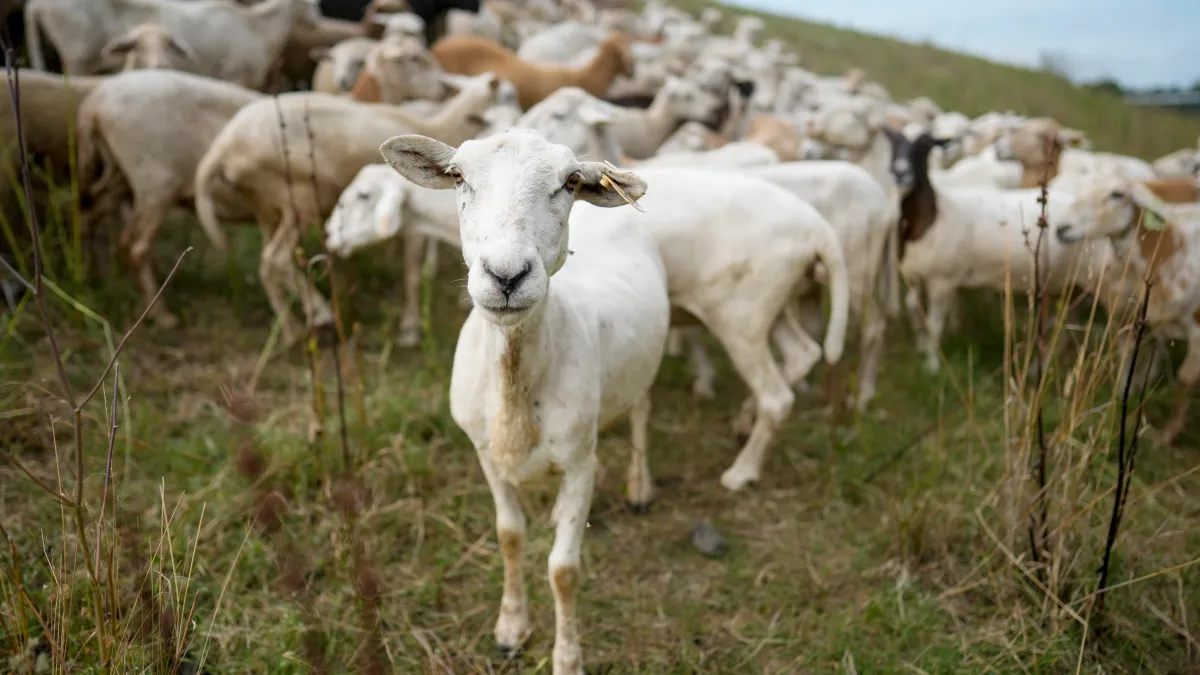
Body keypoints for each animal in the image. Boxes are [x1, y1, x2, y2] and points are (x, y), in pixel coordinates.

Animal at [25, 0, 322, 90]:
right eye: (313, 3)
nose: (316, 22)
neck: (257, 27)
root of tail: (36, 5)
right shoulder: (235, 77)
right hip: (77, 60)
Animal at [75, 69, 263, 327]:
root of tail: (94, 104)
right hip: (155, 181)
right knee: (135, 245)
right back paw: (162, 316)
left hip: (115, 176)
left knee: (87, 217)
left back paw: (89, 281)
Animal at [193, 71, 502, 341]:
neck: (437, 127)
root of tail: (224, 145)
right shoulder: (413, 225)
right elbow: (412, 272)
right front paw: (411, 327)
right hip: (299, 198)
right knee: (274, 259)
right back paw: (311, 320)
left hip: (266, 205)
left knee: (268, 263)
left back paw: (296, 324)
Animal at [379, 128, 670, 675]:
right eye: (457, 176)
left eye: (571, 181)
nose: (506, 275)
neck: (515, 385)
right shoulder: (485, 454)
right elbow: (509, 534)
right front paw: (511, 628)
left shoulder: (580, 464)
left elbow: (563, 569)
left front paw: (568, 657)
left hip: (644, 365)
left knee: (642, 408)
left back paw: (641, 485)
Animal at [1055, 172, 1200, 446]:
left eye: (1117, 194)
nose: (1062, 228)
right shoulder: (1132, 315)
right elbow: (1127, 359)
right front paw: (1120, 402)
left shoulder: (1198, 329)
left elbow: (1184, 381)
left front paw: (1167, 436)